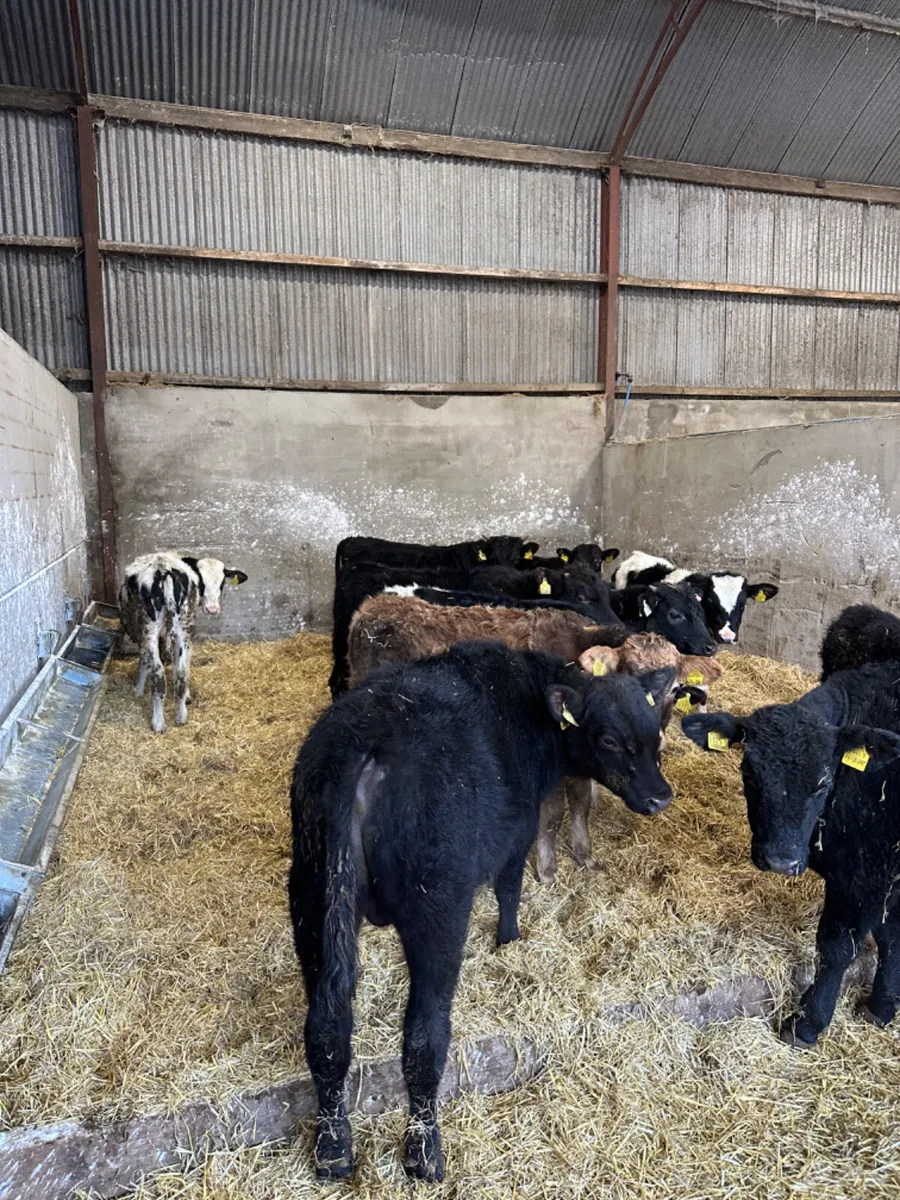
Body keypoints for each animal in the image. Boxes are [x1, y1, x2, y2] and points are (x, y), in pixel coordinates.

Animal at [118, 551, 248, 733]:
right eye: (202, 582)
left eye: (222, 583)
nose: (213, 609)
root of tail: (164, 568)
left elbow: (144, 662)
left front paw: (139, 689)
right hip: (183, 627)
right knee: (181, 672)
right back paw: (181, 716)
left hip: (151, 628)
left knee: (158, 673)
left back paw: (158, 722)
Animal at [289, 640, 675, 1181]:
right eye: (609, 738)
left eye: (654, 731)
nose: (661, 797)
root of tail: (366, 746)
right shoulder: (518, 831)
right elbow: (510, 888)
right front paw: (510, 940)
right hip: (438, 908)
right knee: (424, 1035)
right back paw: (425, 1153)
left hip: (313, 897)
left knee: (327, 1028)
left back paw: (333, 1150)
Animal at [681, 662, 900, 1048]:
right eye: (748, 771)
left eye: (823, 781)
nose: (780, 861)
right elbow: (891, 934)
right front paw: (883, 1005)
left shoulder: (868, 875)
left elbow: (837, 948)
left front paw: (808, 1022)